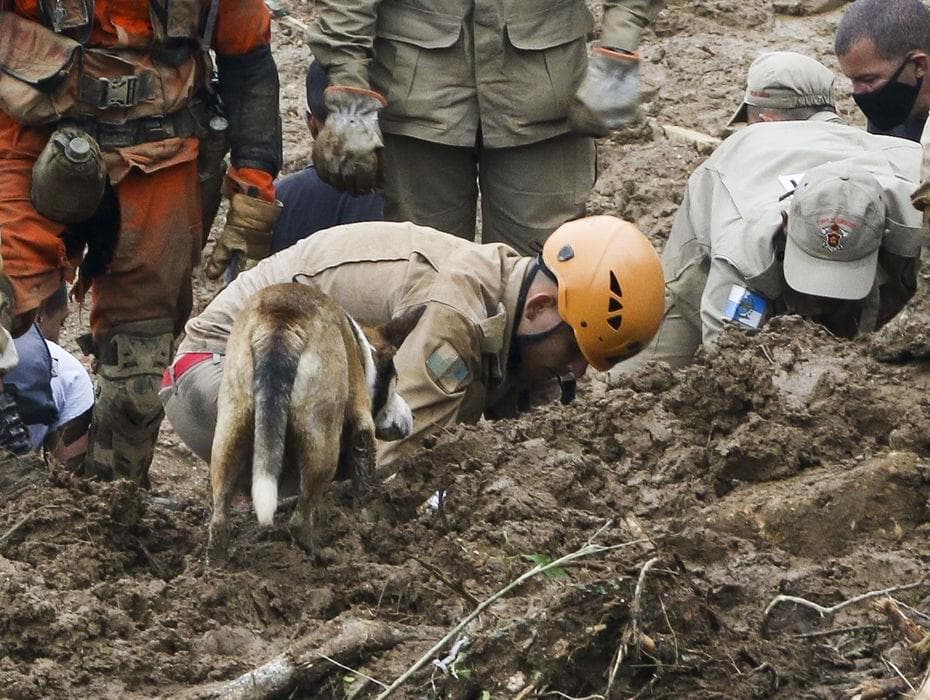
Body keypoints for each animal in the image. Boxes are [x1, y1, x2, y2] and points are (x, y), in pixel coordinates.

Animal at [208, 282, 422, 560]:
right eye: (395, 382)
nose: (413, 416)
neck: (362, 350)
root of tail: (282, 323)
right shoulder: (362, 426)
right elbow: (363, 477)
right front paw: (363, 517)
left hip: (230, 430)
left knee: (218, 518)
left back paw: (216, 566)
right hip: (322, 444)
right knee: (299, 521)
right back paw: (319, 555)